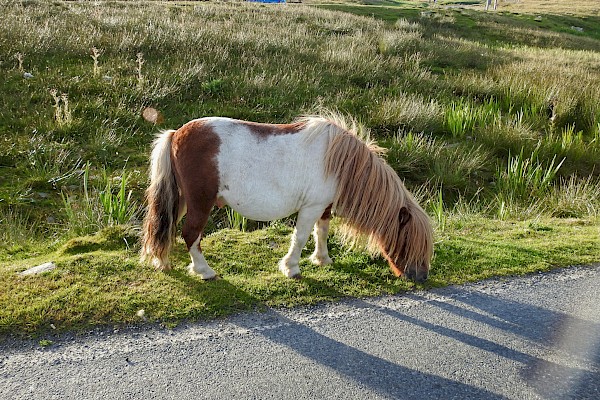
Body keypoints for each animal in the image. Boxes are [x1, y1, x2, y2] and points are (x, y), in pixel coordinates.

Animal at [141, 115, 432, 282]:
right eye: (408, 240)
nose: (422, 277)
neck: (339, 161)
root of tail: (176, 134)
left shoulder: (323, 207)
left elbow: (321, 232)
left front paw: (322, 259)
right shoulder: (310, 207)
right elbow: (300, 237)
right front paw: (291, 268)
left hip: (182, 200)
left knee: (166, 229)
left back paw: (162, 262)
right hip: (200, 202)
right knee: (190, 234)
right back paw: (205, 271)